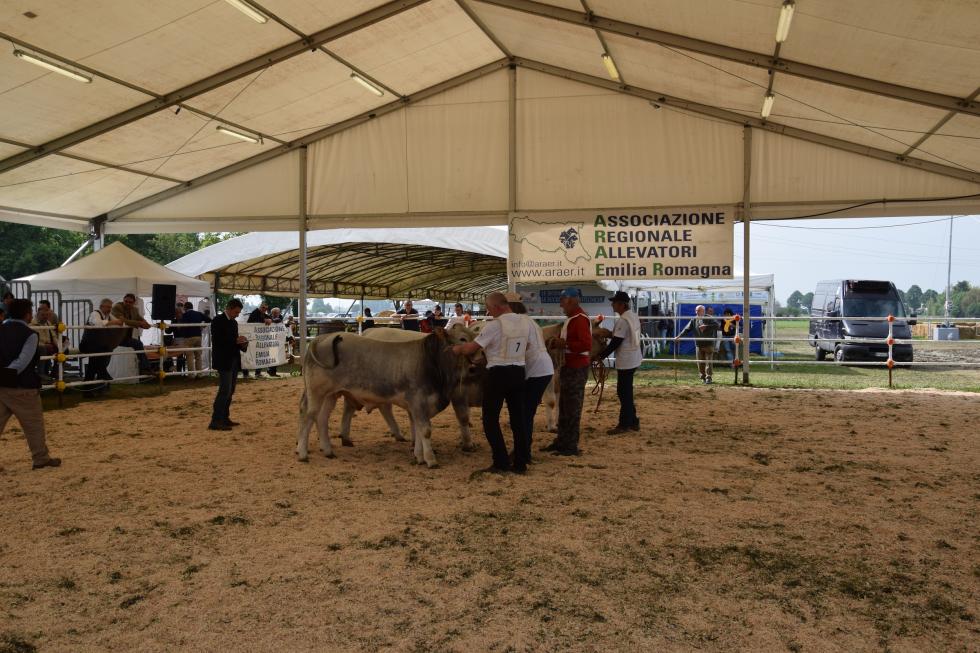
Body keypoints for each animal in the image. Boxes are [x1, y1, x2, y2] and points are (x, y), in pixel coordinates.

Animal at [297, 329, 469, 468]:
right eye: (462, 338)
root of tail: (321, 338)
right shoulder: (418, 402)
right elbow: (425, 430)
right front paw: (431, 460)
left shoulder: (419, 408)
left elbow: (419, 430)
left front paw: (419, 457)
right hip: (316, 392)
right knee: (308, 416)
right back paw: (303, 453)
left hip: (330, 395)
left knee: (322, 418)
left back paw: (328, 451)